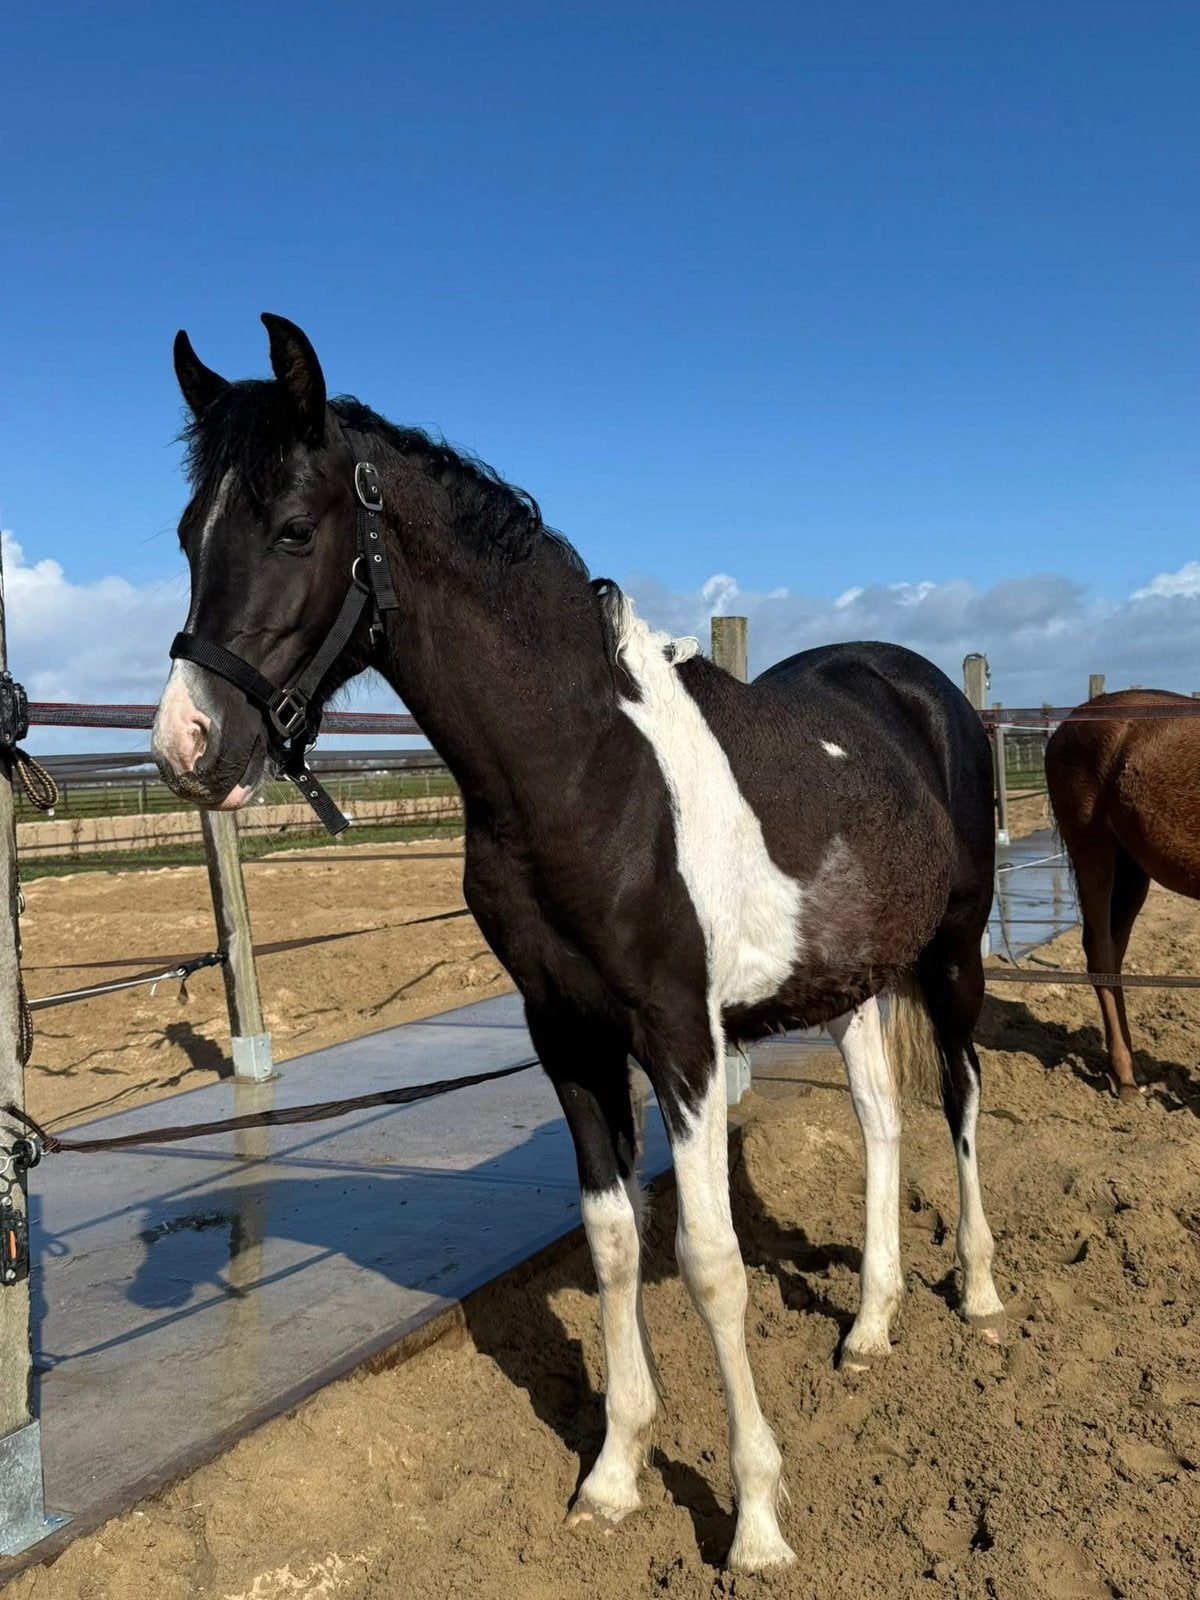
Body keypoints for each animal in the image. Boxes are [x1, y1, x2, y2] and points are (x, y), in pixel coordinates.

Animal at [150, 314, 1005, 1571]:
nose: (187, 745)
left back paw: (981, 1294)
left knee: (960, 1100)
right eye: (185, 534)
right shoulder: (569, 1036)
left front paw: (756, 1522)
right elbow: (611, 1242)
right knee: (881, 1123)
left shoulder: (680, 1037)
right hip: (852, 981)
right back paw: (870, 1325)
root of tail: (921, 686)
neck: (586, 772)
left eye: (295, 527)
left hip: (952, 956)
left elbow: (709, 1262)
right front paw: (612, 1475)